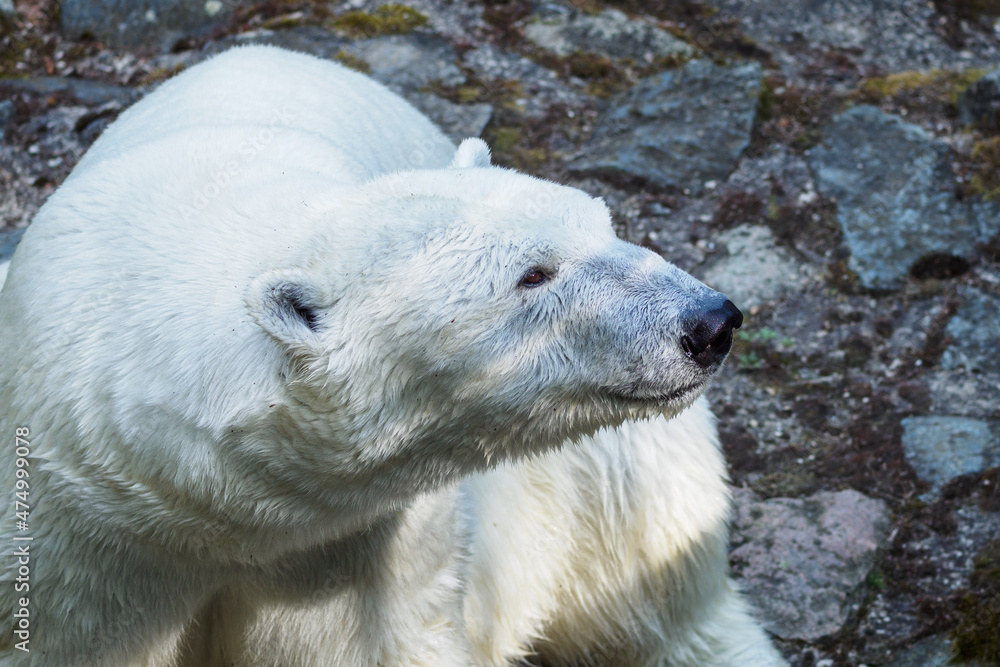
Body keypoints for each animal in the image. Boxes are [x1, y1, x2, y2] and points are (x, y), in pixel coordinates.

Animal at [0, 45, 786, 666]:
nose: (709, 322)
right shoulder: (79, 543)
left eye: (604, 223)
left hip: (605, 474)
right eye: (533, 274)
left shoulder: (359, 549)